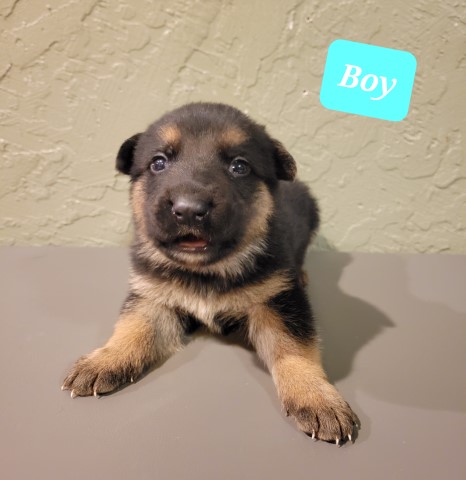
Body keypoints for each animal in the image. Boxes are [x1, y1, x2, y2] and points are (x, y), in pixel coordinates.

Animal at [62, 103, 358, 444]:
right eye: (158, 162)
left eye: (239, 166)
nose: (189, 210)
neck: (206, 271)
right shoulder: (153, 297)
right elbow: (132, 328)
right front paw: (106, 359)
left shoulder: (277, 300)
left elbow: (294, 349)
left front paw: (316, 397)